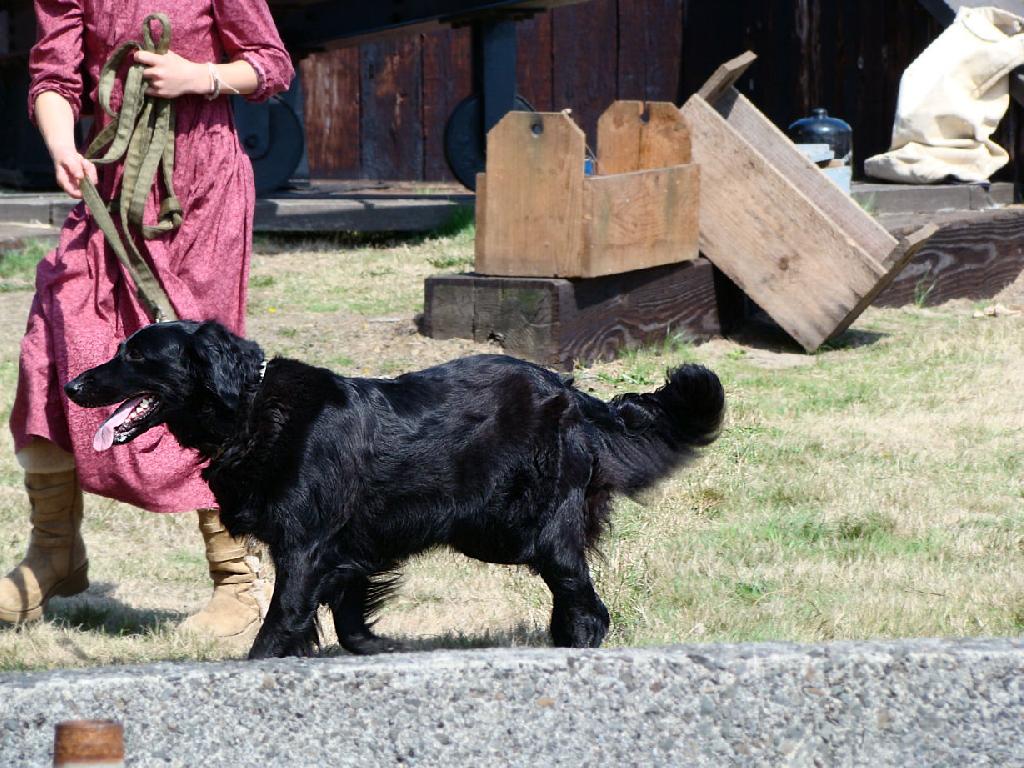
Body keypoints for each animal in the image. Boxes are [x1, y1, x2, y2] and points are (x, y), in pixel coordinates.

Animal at [64, 321, 724, 659]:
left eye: (136, 356)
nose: (71, 386)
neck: (248, 407)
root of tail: (569, 390)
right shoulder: (347, 552)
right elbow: (349, 622)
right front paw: (374, 651)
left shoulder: (304, 550)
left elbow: (280, 624)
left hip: (526, 529)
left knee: (586, 604)